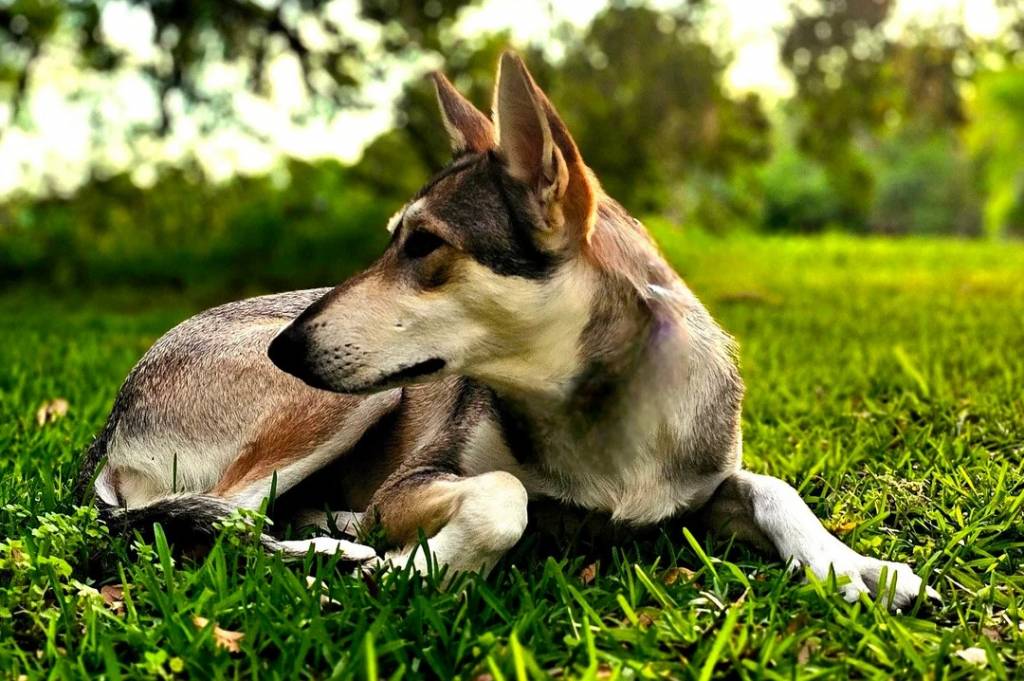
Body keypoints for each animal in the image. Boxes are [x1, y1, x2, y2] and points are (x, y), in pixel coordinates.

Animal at [80, 52, 935, 609]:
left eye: (423, 245)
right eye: (394, 239)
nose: (282, 348)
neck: (598, 410)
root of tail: (113, 417)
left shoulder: (698, 487)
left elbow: (773, 487)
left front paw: (854, 567)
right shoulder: (417, 481)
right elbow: (504, 494)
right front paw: (415, 567)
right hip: (354, 402)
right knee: (226, 515)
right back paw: (341, 545)